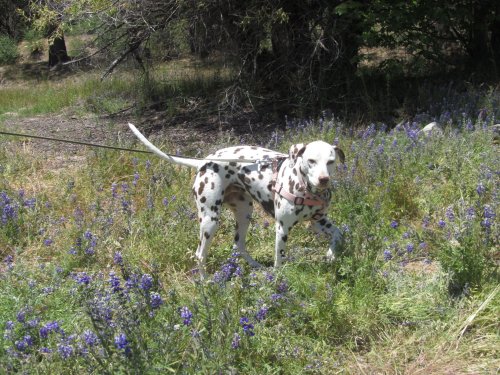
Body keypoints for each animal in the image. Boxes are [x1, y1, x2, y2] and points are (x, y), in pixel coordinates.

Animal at [128, 123, 344, 274]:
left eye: (331, 161)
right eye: (311, 160)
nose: (324, 179)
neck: (306, 189)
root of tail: (204, 162)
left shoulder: (319, 222)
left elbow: (339, 235)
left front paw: (331, 255)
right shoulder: (282, 229)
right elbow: (279, 261)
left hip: (244, 213)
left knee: (238, 245)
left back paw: (256, 267)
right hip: (210, 221)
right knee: (200, 255)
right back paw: (206, 284)